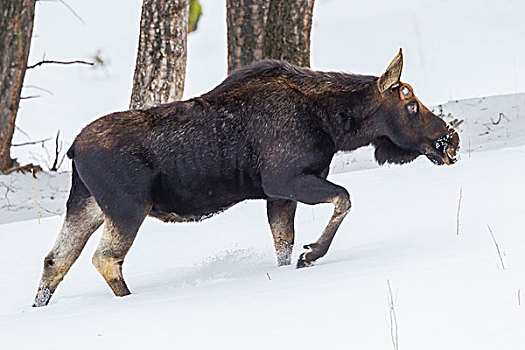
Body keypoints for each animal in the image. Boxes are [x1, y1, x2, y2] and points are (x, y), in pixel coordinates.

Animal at [33, 49, 458, 306]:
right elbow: (343, 199)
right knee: (105, 259)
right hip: (127, 207)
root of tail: (73, 149)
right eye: (410, 103)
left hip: (86, 205)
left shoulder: (280, 195)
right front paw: (311, 254)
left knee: (56, 260)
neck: (334, 125)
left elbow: (283, 243)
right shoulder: (285, 180)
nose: (450, 138)